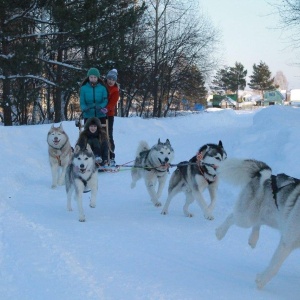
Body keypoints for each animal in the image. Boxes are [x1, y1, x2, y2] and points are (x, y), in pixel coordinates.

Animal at [216, 158, 300, 290]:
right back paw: (220, 232)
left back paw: (253, 239)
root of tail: (263, 174)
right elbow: (274, 267)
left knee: (258, 223)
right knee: (232, 217)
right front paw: (261, 281)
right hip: (246, 218)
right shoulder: (287, 242)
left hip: (272, 218)